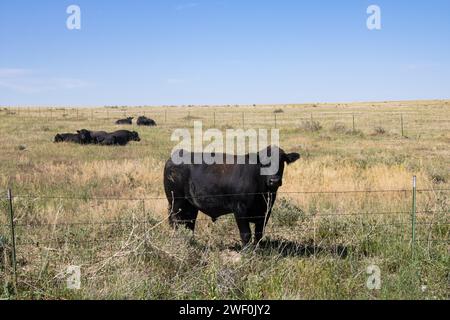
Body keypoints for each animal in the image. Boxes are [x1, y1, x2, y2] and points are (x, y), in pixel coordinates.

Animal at [163, 146, 300, 246]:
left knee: (189, 224)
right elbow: (246, 234)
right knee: (176, 222)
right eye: (264, 163)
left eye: (282, 161)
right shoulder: (239, 209)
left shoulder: (266, 211)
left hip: (190, 206)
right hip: (176, 203)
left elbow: (259, 234)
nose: (274, 180)